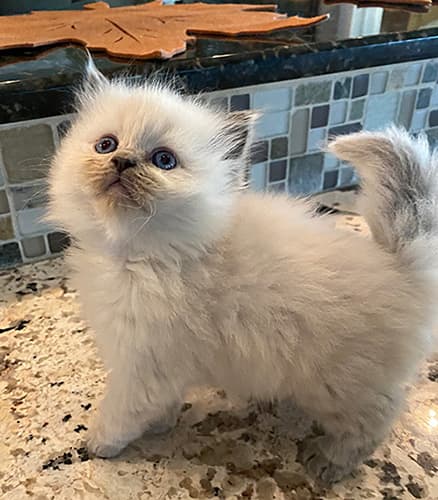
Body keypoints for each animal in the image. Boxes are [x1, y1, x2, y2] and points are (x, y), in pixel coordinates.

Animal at [48, 60, 438, 482]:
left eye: (163, 160)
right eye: (106, 145)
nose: (122, 162)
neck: (144, 255)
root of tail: (401, 264)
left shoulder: (143, 368)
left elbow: (120, 415)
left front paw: (98, 445)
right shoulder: (161, 368)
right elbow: (162, 406)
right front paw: (162, 426)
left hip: (341, 386)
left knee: (373, 423)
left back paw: (328, 463)